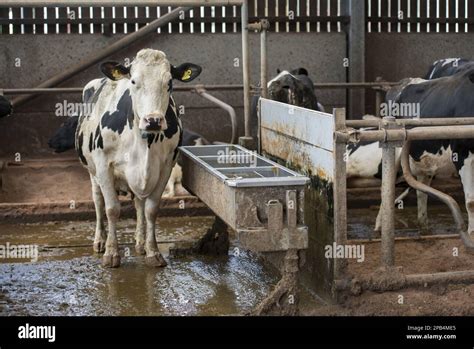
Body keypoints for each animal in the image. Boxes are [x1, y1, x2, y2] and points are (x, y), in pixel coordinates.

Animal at [75, 49, 201, 266]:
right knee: (98, 201)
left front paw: (153, 252)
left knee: (139, 204)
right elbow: (112, 209)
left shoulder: (166, 167)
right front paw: (111, 253)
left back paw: (140, 242)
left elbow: (151, 209)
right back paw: (100, 240)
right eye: (133, 81)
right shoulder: (103, 166)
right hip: (92, 171)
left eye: (169, 82)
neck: (144, 143)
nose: (153, 120)